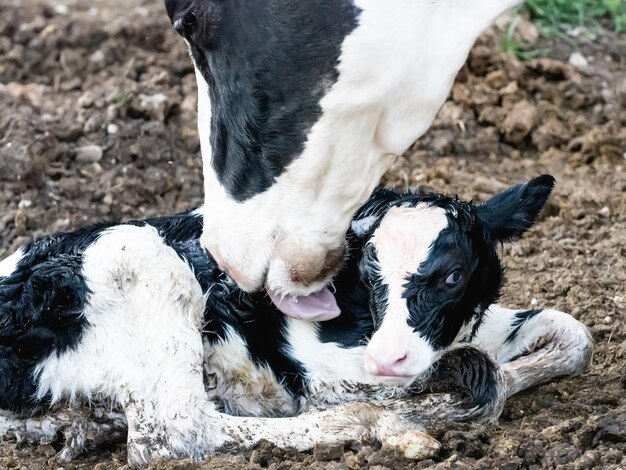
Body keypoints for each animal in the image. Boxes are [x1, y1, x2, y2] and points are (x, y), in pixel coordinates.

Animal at [0, 176, 588, 466]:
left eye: (453, 275)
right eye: (369, 272)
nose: (387, 356)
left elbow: (572, 333)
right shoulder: (325, 371)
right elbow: (471, 379)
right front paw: (460, 394)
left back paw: (80, 425)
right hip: (143, 260)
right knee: (174, 435)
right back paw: (384, 426)